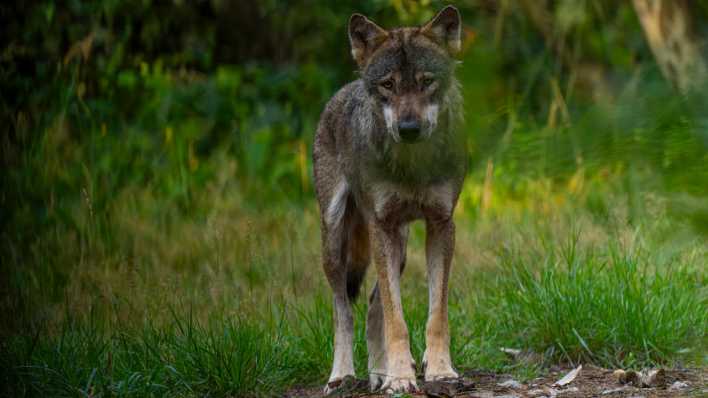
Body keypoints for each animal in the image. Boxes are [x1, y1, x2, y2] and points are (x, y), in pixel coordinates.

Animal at [312, 6, 468, 394]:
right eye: (388, 85)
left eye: (426, 81)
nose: (409, 129)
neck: (412, 166)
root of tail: (344, 89)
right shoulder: (380, 226)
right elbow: (396, 320)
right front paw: (401, 378)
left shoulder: (441, 224)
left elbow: (435, 315)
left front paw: (439, 371)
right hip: (336, 239)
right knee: (343, 308)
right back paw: (343, 375)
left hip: (399, 247)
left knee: (372, 306)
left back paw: (379, 375)